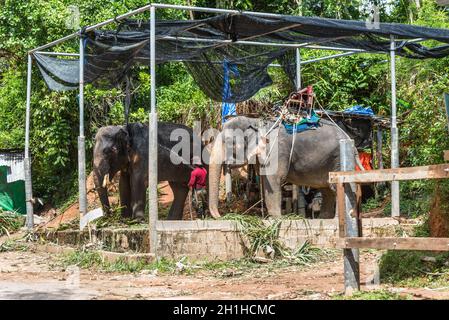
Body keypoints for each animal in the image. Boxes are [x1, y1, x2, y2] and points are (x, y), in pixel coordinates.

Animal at [208, 116, 352, 219]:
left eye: (228, 141)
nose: (221, 216)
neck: (255, 121)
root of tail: (348, 136)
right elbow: (265, 180)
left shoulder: (276, 150)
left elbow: (273, 179)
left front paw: (275, 219)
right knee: (326, 189)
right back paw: (324, 219)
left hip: (339, 158)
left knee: (337, 186)